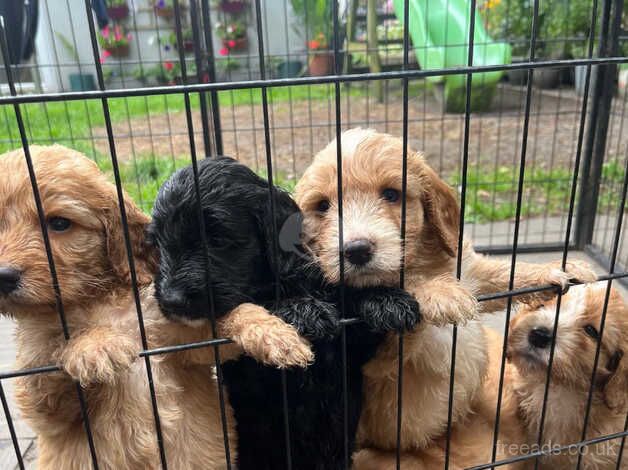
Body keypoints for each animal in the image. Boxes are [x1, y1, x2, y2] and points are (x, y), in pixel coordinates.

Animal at [0, 145, 312, 468]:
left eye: (60, 224)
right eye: (158, 242)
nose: (4, 276)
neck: (97, 301)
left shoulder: (182, 345)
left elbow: (223, 322)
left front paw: (274, 334)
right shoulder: (47, 404)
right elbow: (50, 363)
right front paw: (96, 344)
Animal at [149, 157, 420, 470]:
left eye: (217, 239)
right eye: (157, 242)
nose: (172, 299)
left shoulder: (352, 352)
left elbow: (348, 299)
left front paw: (386, 299)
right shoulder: (250, 374)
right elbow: (261, 303)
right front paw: (303, 309)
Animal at [296, 129, 600, 462]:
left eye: (391, 194)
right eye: (322, 206)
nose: (356, 250)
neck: (423, 263)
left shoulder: (471, 272)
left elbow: (505, 273)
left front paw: (556, 269)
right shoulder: (377, 366)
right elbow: (406, 302)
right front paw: (438, 291)